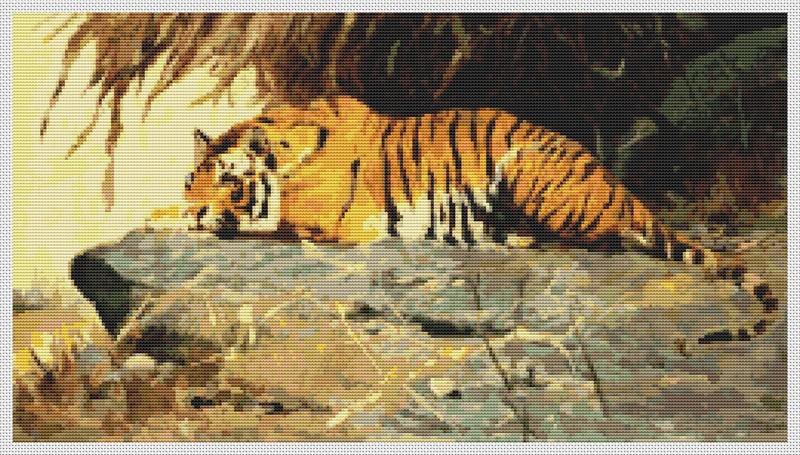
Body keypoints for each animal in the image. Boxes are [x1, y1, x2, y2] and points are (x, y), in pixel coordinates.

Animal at [153, 95, 780, 346]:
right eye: (191, 180)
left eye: (229, 183)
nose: (196, 207)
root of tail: (628, 195)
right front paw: (169, 215)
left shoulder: (337, 223)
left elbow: (273, 223)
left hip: (528, 168)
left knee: (590, 241)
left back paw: (519, 239)